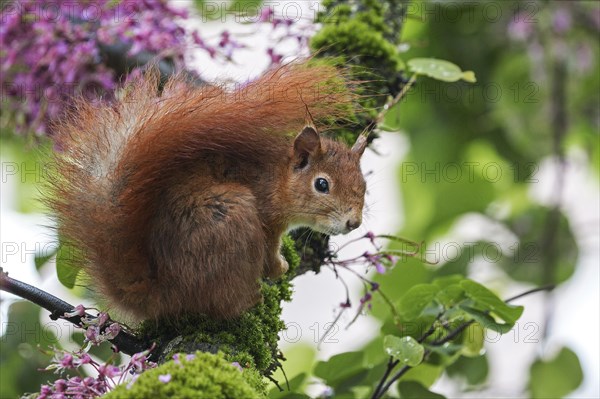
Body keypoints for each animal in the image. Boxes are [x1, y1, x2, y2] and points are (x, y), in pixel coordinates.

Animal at [47, 63, 366, 322]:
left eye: (363, 186)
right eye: (322, 184)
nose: (354, 222)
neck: (276, 177)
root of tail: (165, 292)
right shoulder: (267, 219)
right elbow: (270, 252)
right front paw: (278, 268)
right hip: (232, 216)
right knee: (223, 304)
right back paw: (250, 298)